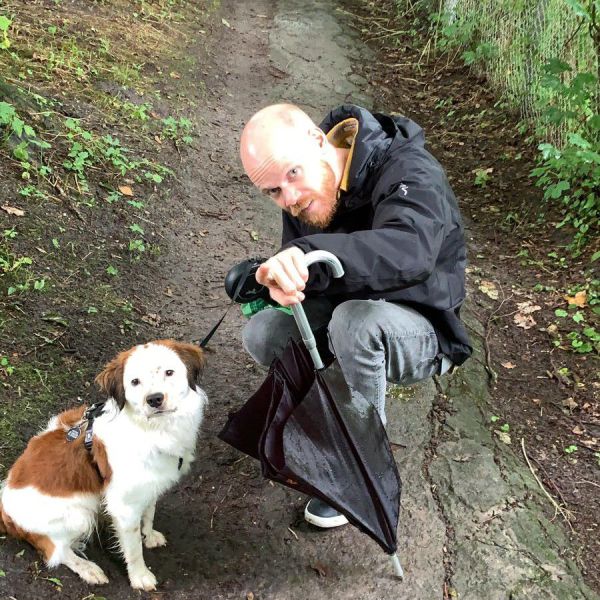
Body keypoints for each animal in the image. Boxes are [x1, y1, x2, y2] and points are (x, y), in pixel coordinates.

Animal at [0, 338, 206, 592]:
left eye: (169, 372)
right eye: (135, 382)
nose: (154, 399)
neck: (152, 428)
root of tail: (4, 511)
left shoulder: (150, 485)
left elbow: (149, 512)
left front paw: (149, 535)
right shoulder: (124, 506)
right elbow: (134, 548)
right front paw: (140, 576)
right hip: (79, 514)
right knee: (55, 552)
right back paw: (88, 569)